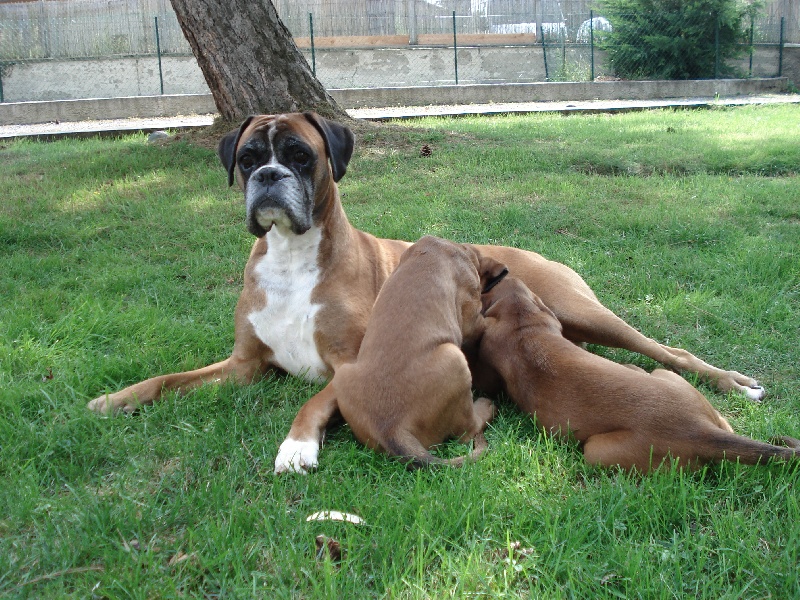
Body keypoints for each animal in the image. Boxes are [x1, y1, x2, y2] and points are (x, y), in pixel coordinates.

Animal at [330, 237, 506, 466]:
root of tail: (393, 431)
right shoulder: (472, 319)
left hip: (342, 374)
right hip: (454, 357)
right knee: (468, 430)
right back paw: (487, 406)